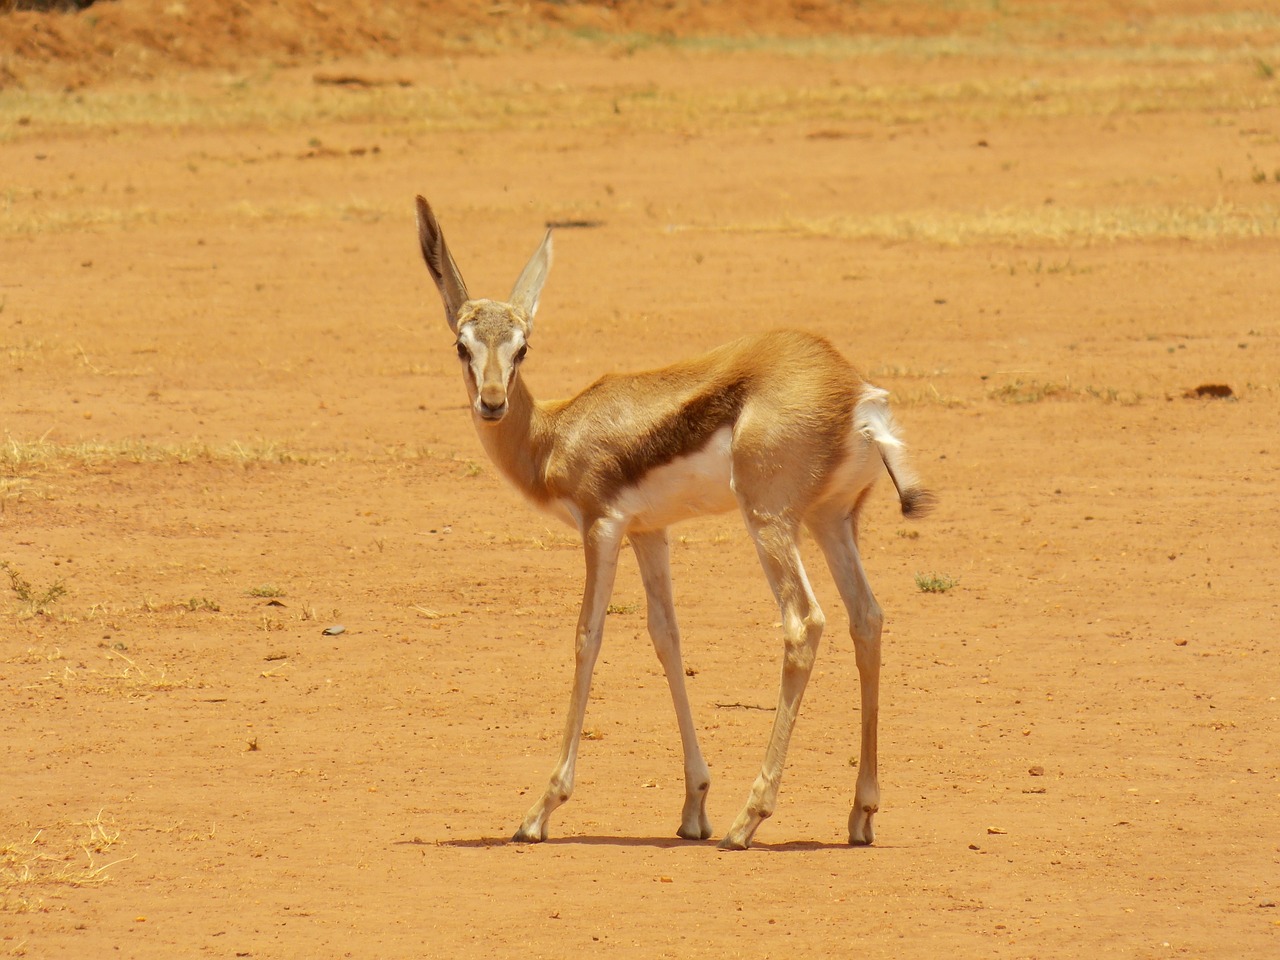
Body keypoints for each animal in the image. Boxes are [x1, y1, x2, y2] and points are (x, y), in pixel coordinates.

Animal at [414, 195, 936, 849]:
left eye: (522, 347)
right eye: (463, 345)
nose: (492, 403)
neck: (554, 434)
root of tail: (857, 394)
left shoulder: (602, 528)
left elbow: (587, 638)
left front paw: (540, 810)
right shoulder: (649, 533)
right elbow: (667, 638)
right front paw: (694, 806)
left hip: (769, 521)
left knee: (804, 623)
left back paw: (749, 819)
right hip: (831, 521)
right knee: (867, 618)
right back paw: (860, 813)